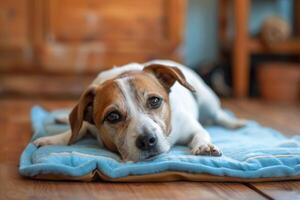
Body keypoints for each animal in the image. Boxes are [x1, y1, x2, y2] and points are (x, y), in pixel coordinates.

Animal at [34, 60, 246, 162]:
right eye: (113, 116)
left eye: (154, 101)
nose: (147, 140)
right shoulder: (87, 125)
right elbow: (75, 130)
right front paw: (53, 139)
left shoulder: (191, 127)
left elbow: (200, 134)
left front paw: (204, 146)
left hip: (207, 100)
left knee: (217, 114)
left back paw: (235, 122)